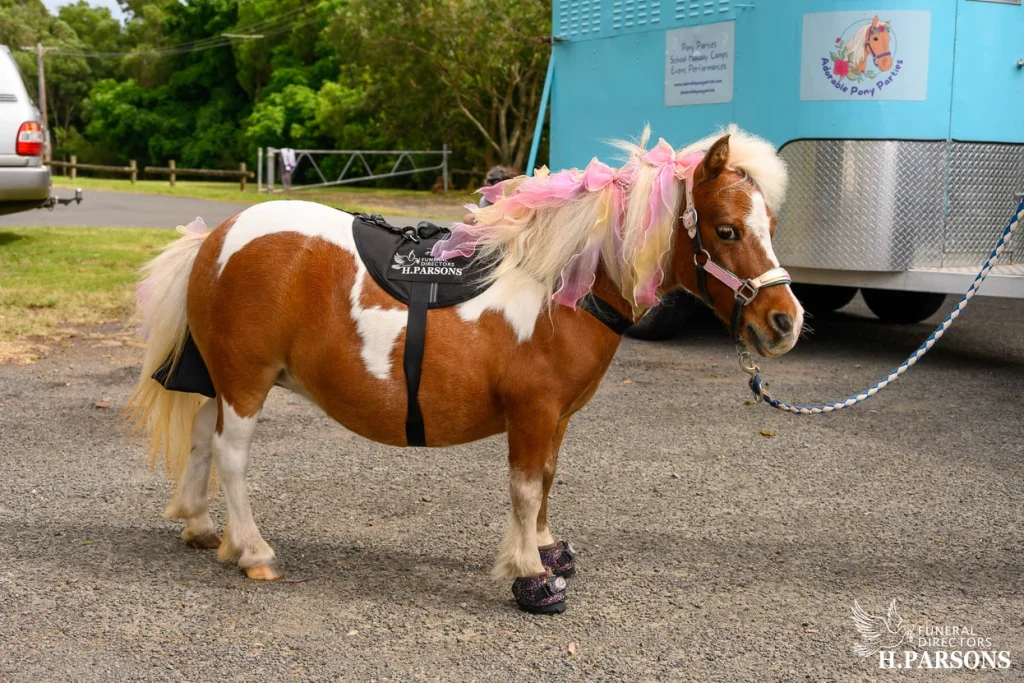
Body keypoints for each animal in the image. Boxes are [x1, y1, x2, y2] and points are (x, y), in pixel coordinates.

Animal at [126, 125, 804, 613]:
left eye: (771, 225)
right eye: (727, 229)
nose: (785, 322)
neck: (560, 289)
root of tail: (216, 238)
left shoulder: (555, 419)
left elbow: (547, 481)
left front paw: (548, 550)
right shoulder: (532, 413)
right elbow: (525, 489)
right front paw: (531, 576)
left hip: (224, 381)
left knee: (201, 440)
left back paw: (201, 527)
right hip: (246, 382)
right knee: (231, 456)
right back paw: (253, 550)